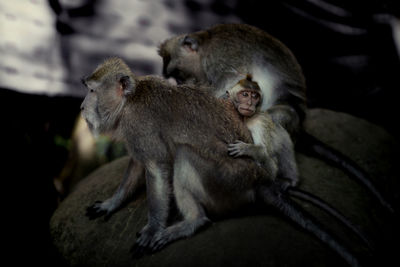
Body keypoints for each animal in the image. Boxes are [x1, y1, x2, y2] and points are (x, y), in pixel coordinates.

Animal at [82, 57, 362, 266]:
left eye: (92, 91)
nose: (83, 107)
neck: (130, 100)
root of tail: (260, 178)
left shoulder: (140, 126)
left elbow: (157, 169)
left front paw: (152, 228)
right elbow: (138, 165)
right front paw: (112, 203)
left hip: (229, 180)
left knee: (184, 155)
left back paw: (194, 221)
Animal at [157, 23, 394, 213]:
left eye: (179, 74)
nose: (180, 83)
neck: (206, 43)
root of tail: (300, 127)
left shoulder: (220, 61)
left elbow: (229, 81)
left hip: (287, 117)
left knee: (274, 124)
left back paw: (289, 178)